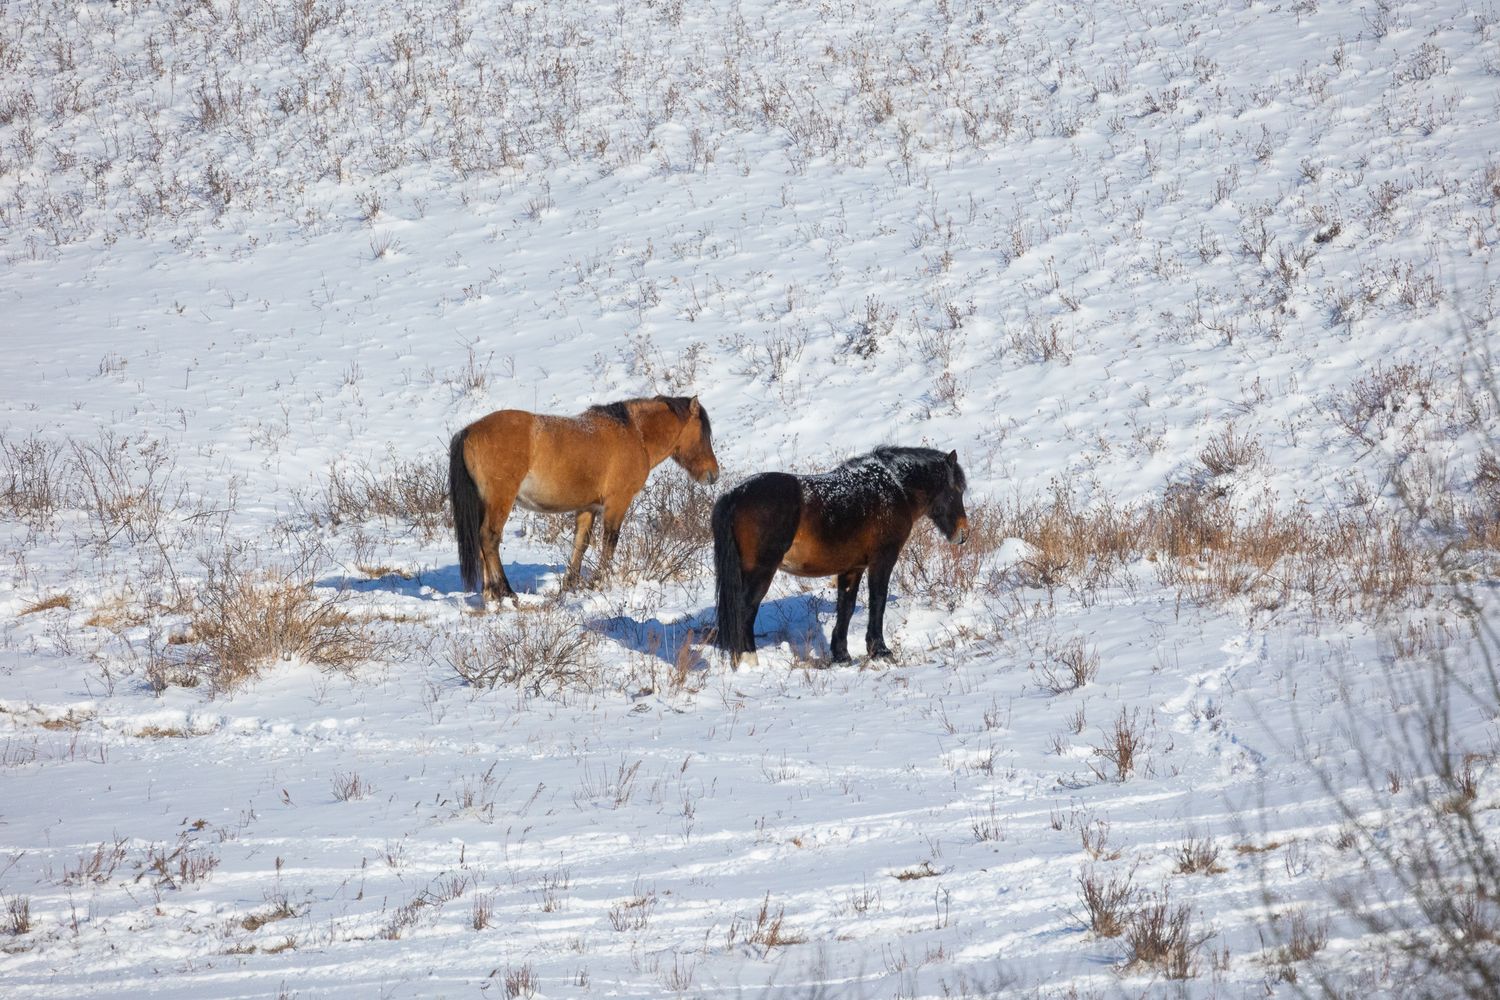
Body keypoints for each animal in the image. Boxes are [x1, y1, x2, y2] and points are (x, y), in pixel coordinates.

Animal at [449, 395, 719, 606]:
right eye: (703, 434)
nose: (713, 474)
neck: (635, 434)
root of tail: (469, 431)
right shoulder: (616, 504)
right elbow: (609, 542)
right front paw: (600, 581)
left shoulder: (588, 508)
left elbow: (581, 544)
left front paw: (570, 585)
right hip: (500, 501)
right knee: (489, 539)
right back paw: (506, 592)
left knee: (482, 543)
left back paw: (490, 594)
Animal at [711, 446, 969, 668]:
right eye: (956, 490)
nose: (963, 534)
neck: (895, 488)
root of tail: (734, 495)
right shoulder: (882, 559)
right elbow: (878, 600)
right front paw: (880, 650)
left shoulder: (852, 568)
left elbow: (846, 607)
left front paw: (842, 655)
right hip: (761, 571)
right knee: (745, 609)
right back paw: (749, 660)